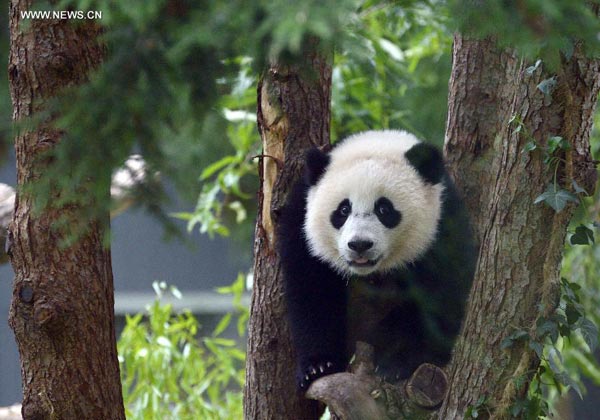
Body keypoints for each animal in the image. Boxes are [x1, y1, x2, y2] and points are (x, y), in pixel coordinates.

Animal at [276, 130, 478, 388]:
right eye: (343, 210)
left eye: (384, 209)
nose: (359, 245)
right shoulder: (301, 227)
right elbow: (312, 293)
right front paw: (319, 366)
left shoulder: (442, 227)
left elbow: (438, 297)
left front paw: (396, 364)